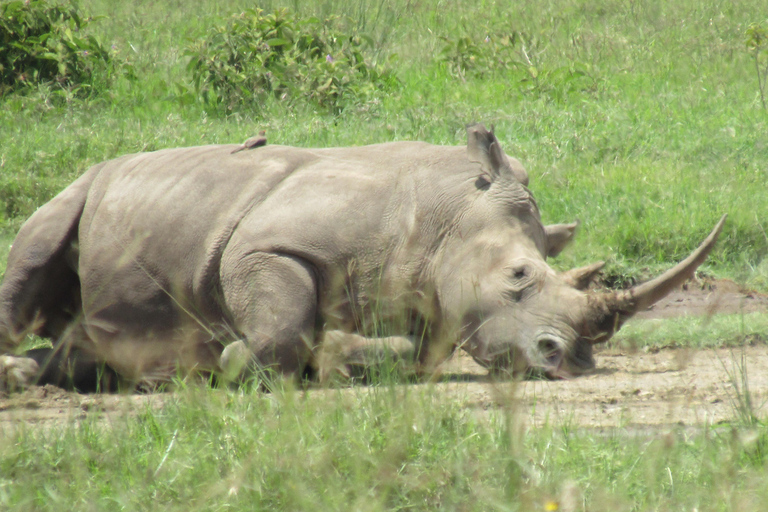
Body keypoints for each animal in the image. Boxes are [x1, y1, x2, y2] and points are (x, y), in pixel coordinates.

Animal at [0, 125, 724, 392]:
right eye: (520, 277)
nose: (571, 360)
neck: (446, 219)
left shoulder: (430, 303)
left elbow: (414, 355)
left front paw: (337, 360)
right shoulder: (265, 246)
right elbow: (279, 327)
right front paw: (229, 364)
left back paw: (78, 372)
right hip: (78, 187)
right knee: (30, 259)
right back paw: (23, 373)